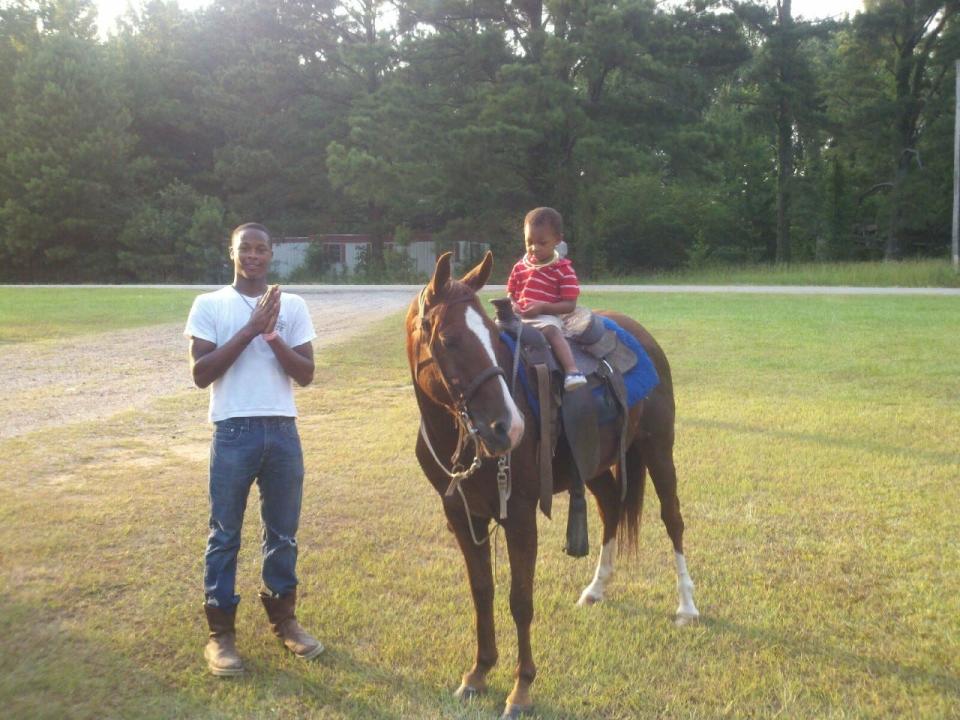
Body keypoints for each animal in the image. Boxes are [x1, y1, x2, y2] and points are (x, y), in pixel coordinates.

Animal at [404, 250, 696, 716]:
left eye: (492, 337)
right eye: (449, 341)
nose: (507, 427)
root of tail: (638, 334)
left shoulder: (521, 516)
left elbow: (520, 601)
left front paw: (521, 688)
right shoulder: (462, 515)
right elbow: (482, 592)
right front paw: (479, 672)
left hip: (657, 448)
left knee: (673, 520)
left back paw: (686, 605)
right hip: (593, 465)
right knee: (611, 509)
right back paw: (597, 587)